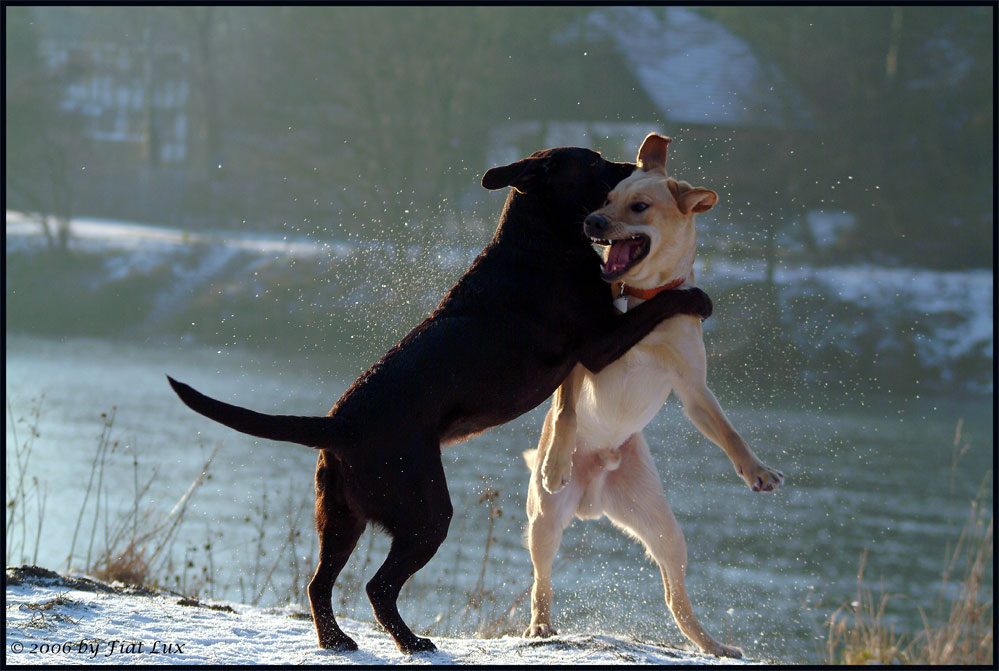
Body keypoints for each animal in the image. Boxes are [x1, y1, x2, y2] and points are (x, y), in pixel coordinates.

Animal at [166, 146, 712, 652]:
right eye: (594, 161)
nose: (630, 164)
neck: (540, 240)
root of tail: (338, 425)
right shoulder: (599, 343)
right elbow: (657, 304)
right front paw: (697, 298)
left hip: (341, 516)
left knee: (320, 583)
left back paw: (337, 640)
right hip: (425, 512)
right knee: (378, 586)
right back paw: (410, 642)